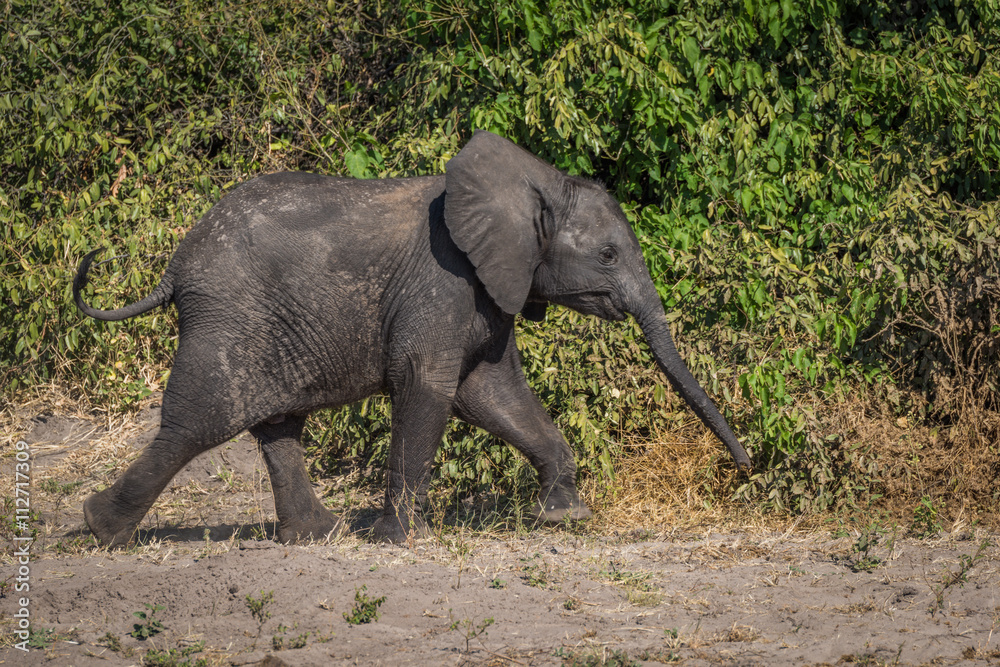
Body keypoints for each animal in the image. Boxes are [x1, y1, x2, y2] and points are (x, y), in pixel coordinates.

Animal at [74, 130, 751, 547]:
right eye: (608, 256)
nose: (745, 469)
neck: (533, 181)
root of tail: (176, 266)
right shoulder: (444, 279)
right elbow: (428, 383)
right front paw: (397, 539)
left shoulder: (488, 290)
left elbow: (493, 393)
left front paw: (566, 516)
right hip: (229, 315)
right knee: (199, 421)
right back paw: (100, 529)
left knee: (277, 424)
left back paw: (318, 534)